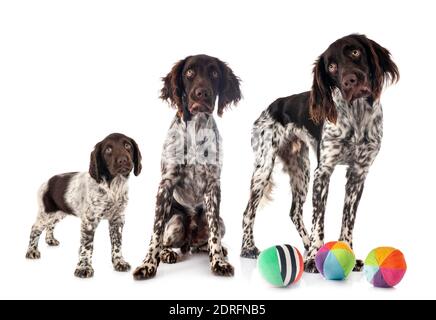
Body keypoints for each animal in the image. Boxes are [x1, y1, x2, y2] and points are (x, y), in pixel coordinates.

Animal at [25, 132, 142, 278]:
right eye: (108, 150)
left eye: (127, 146)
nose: (123, 160)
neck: (113, 187)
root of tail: (47, 182)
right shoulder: (89, 221)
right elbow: (87, 246)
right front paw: (84, 267)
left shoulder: (117, 219)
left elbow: (117, 243)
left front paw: (119, 262)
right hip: (46, 213)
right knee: (35, 228)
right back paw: (31, 251)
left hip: (59, 213)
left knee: (50, 226)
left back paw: (50, 240)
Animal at [133, 55, 242, 280]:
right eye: (189, 73)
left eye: (214, 73)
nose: (202, 93)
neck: (196, 130)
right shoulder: (165, 184)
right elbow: (155, 232)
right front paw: (148, 264)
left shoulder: (213, 186)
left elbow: (214, 233)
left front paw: (218, 261)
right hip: (175, 220)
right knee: (166, 241)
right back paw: (166, 253)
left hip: (221, 222)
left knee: (205, 240)